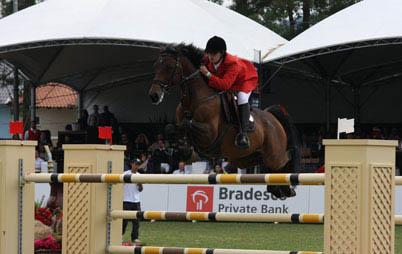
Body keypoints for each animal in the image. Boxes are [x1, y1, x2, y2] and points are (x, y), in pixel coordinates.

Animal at [149, 44, 300, 198]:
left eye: (169, 66)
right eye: (156, 66)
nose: (154, 96)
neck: (193, 100)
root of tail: (272, 116)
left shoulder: (209, 134)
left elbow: (187, 124)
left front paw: (186, 149)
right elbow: (171, 127)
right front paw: (185, 149)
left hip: (274, 155)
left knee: (286, 158)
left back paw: (287, 188)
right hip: (246, 158)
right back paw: (277, 189)